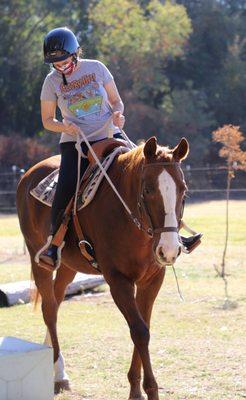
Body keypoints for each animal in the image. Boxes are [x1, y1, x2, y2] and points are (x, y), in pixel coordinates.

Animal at [16, 136, 188, 398]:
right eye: (148, 190)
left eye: (183, 190)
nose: (169, 250)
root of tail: (28, 175)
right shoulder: (117, 280)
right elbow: (139, 331)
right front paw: (149, 389)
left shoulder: (152, 279)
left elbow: (144, 326)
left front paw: (135, 389)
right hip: (40, 260)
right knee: (49, 308)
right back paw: (57, 371)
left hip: (68, 266)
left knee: (56, 302)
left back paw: (55, 366)